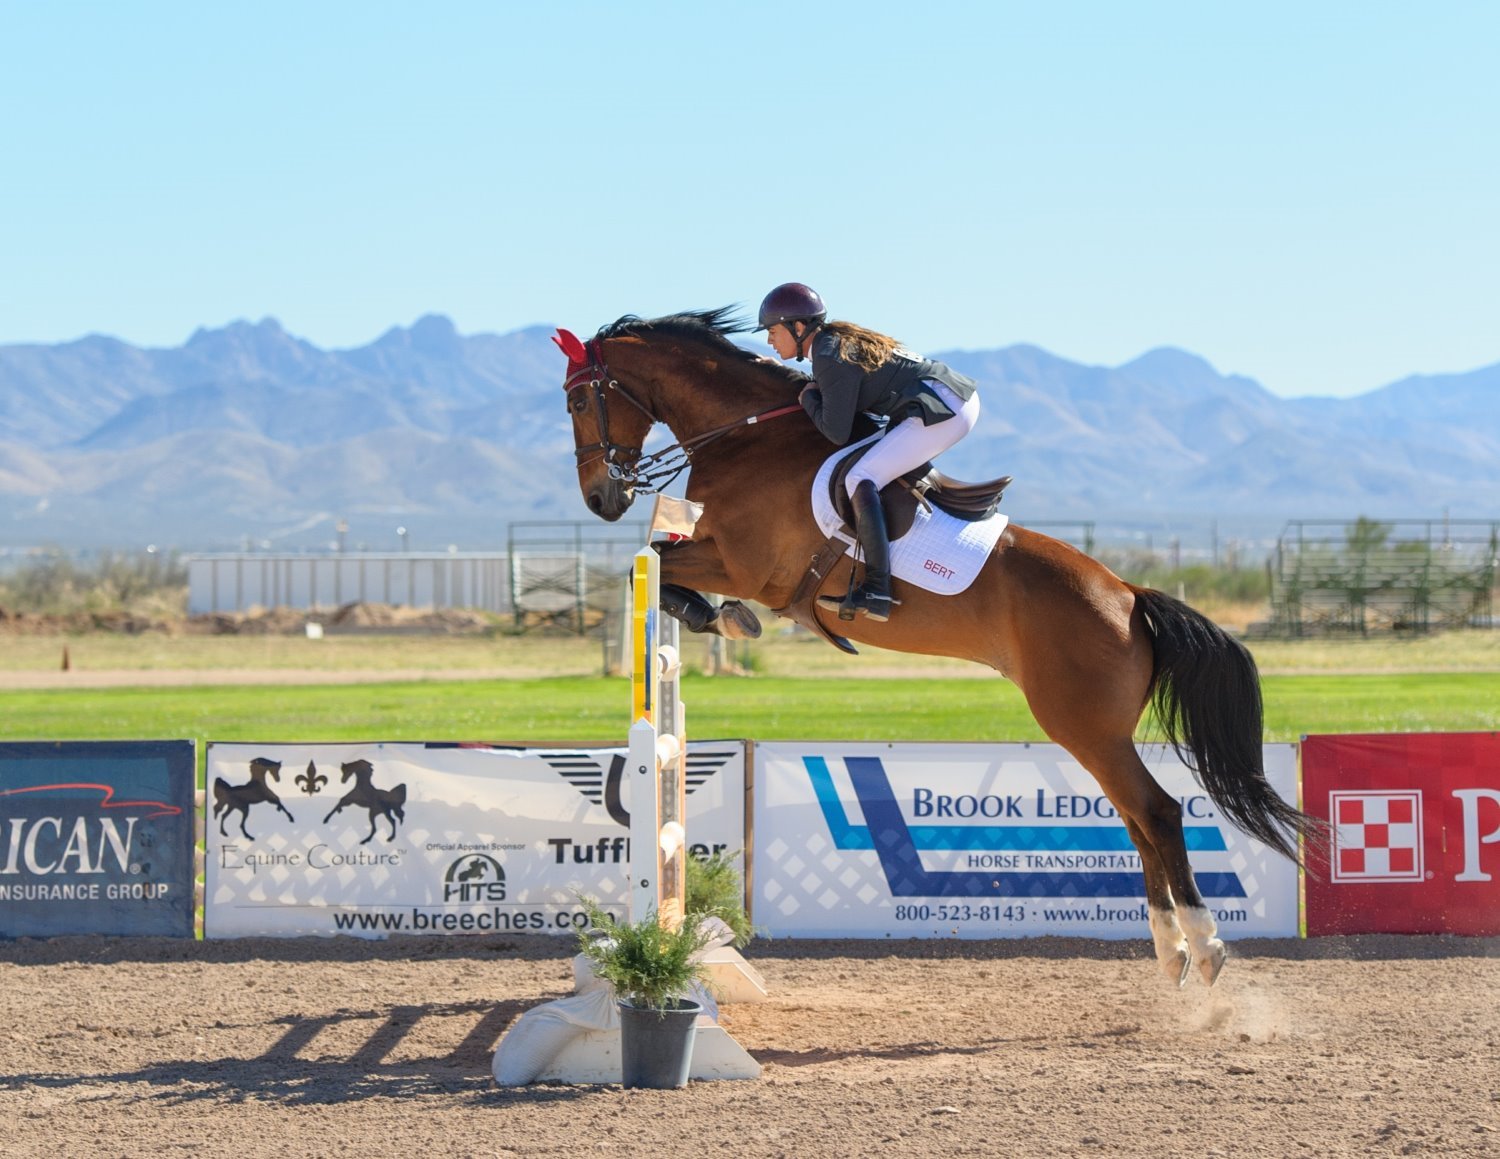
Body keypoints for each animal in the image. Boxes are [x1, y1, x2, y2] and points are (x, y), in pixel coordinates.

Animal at [554, 308, 1324, 988]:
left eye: (579, 398)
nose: (599, 499)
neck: (744, 439)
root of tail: (1130, 595)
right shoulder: (722, 555)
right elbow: (657, 562)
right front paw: (715, 616)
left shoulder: (744, 563)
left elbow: (652, 563)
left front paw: (716, 614)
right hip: (1097, 730)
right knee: (1138, 821)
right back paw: (1171, 953)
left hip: (1081, 723)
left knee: (1158, 813)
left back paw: (1206, 945)